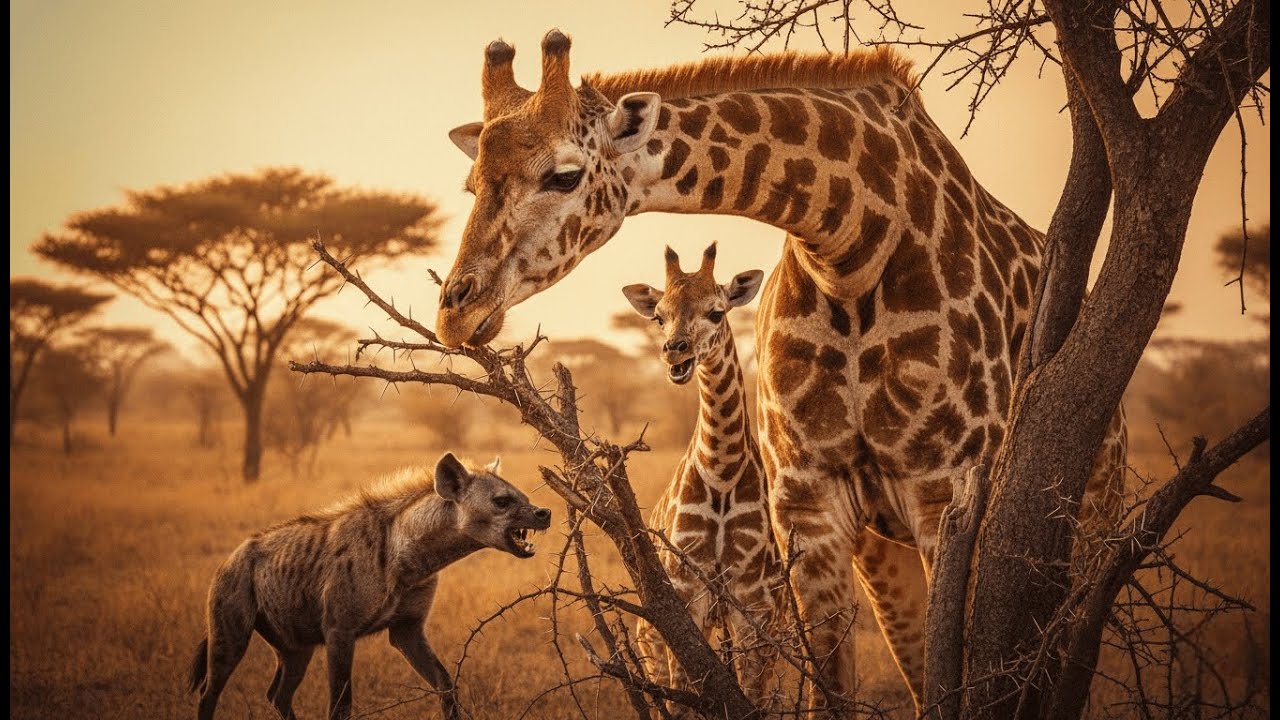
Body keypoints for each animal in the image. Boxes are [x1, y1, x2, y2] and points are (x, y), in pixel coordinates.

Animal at [621, 243, 788, 711]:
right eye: (658, 316)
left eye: (716, 311)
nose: (674, 351)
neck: (722, 473)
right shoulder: (687, 595)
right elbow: (685, 700)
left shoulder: (754, 607)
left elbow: (751, 700)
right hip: (650, 637)